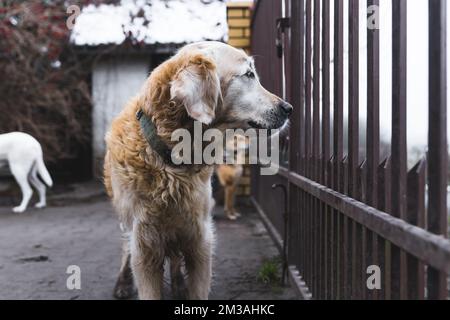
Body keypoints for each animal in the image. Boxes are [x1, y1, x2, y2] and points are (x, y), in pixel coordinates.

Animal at [103, 40, 294, 300]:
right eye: (248, 74)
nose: (288, 108)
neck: (172, 163)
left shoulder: (200, 239)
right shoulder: (144, 245)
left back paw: (178, 284)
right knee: (126, 248)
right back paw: (123, 283)